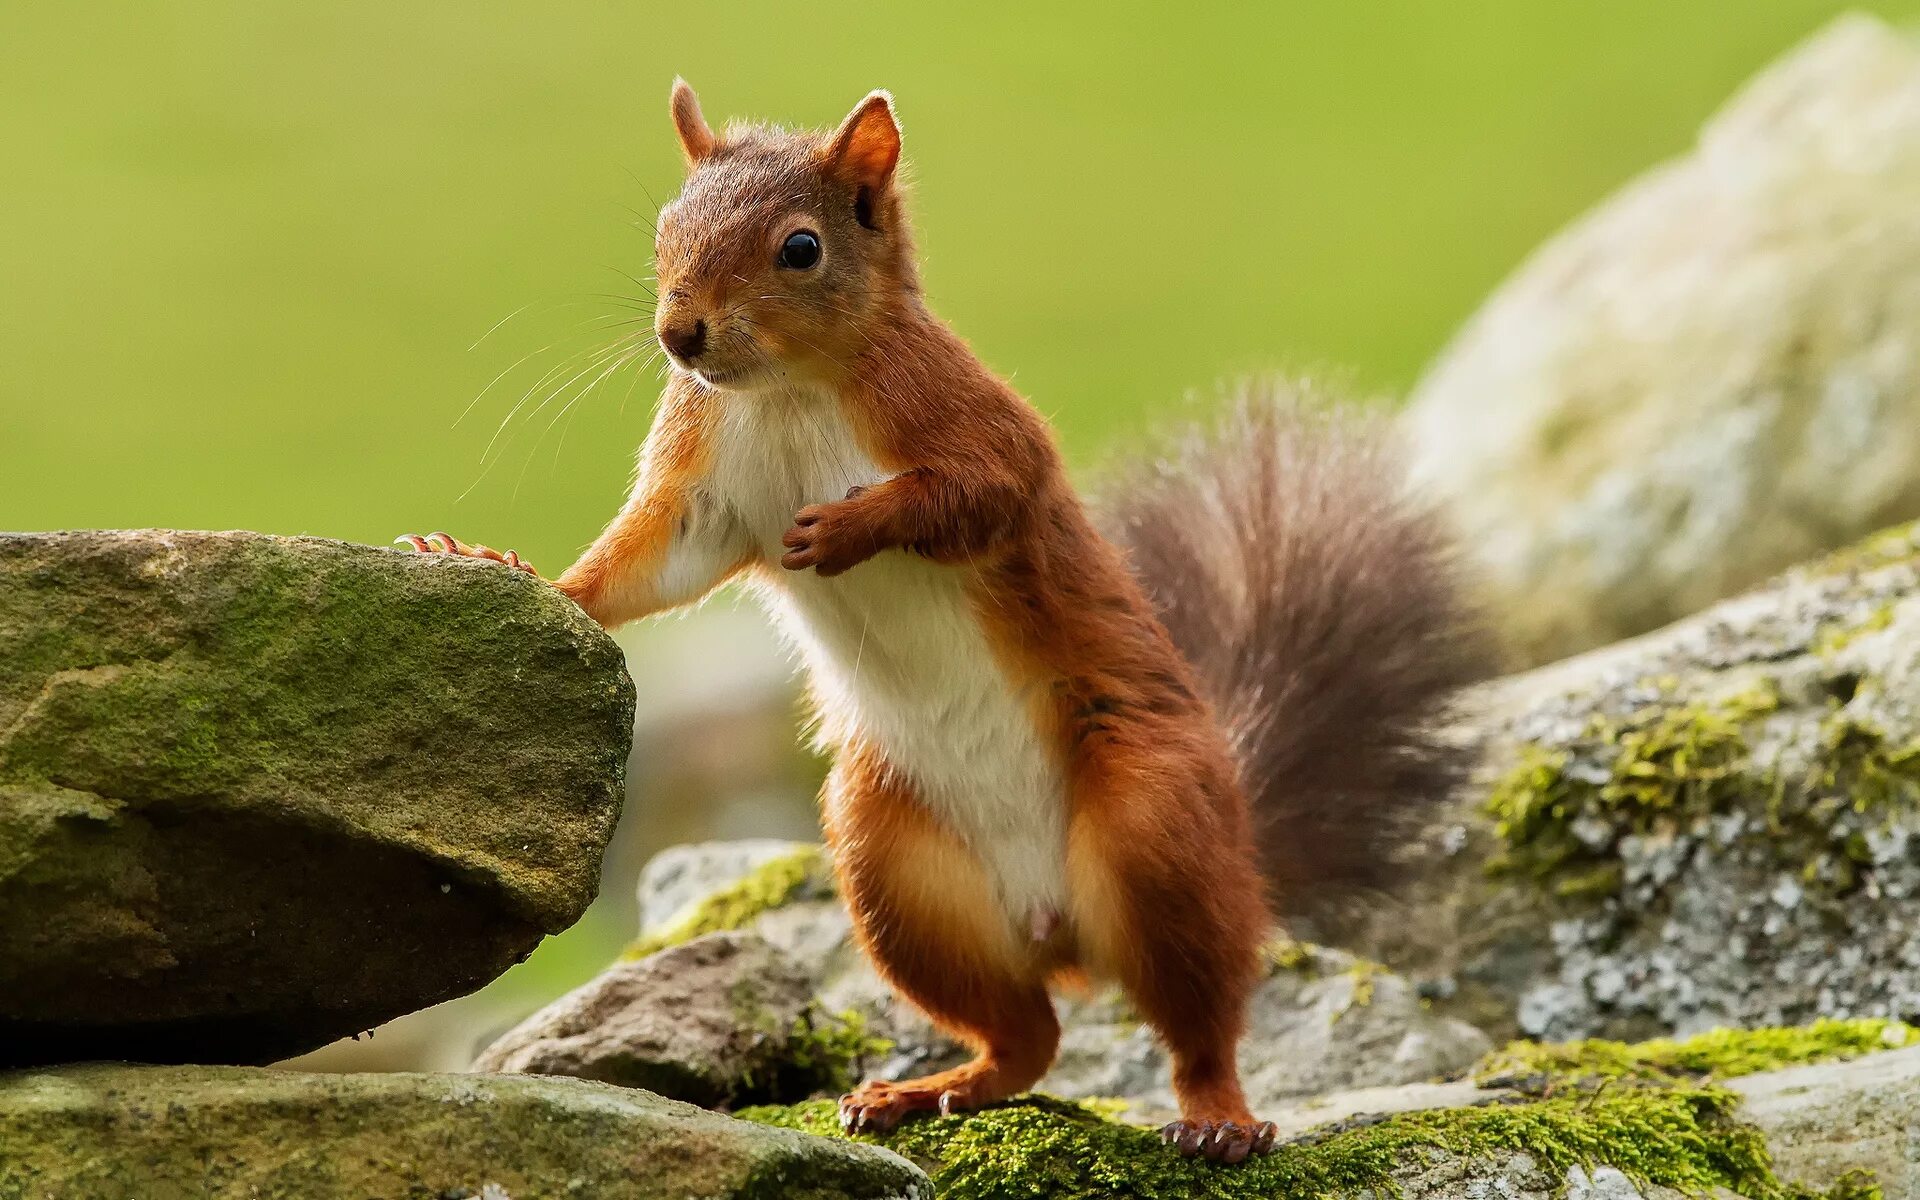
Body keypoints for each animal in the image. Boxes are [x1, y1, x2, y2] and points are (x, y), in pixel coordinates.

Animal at [405, 84, 1474, 1159]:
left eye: (801, 248)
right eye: (666, 229)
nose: (680, 336)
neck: (787, 390)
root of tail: (1061, 928)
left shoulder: (971, 424)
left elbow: (974, 496)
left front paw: (849, 527)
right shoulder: (702, 489)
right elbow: (644, 569)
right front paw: (503, 568)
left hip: (1155, 823)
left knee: (1198, 1020)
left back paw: (1218, 1116)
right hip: (894, 872)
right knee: (1026, 1040)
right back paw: (926, 1090)